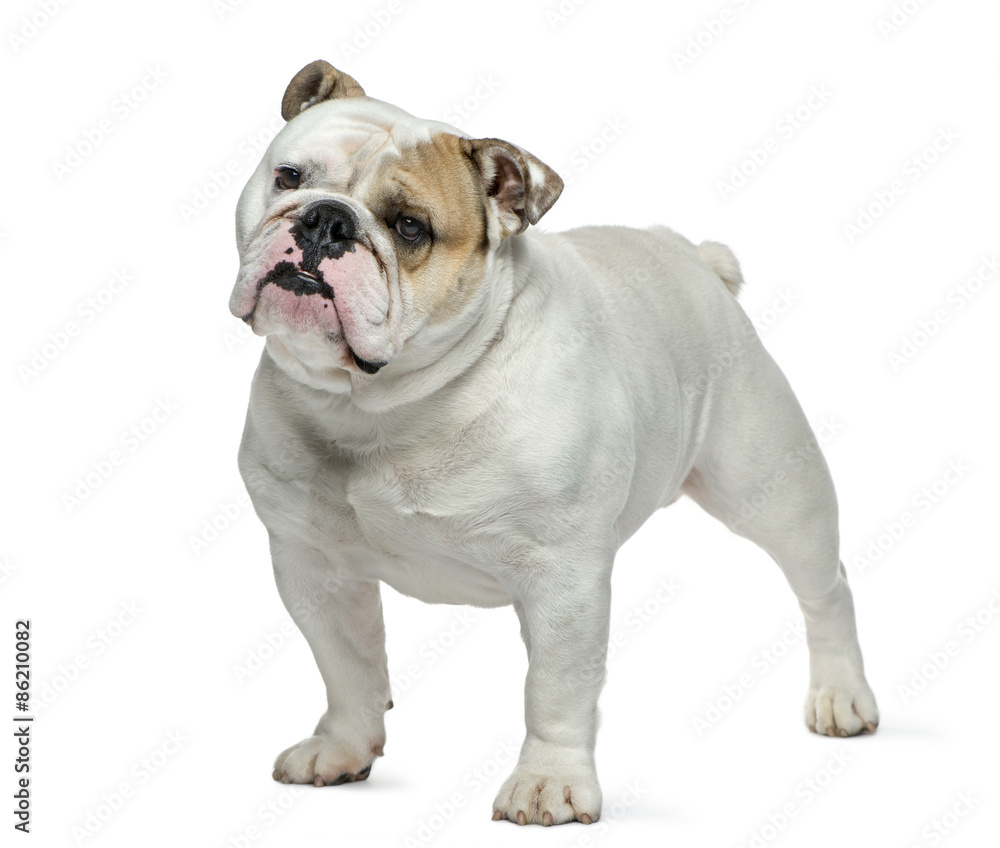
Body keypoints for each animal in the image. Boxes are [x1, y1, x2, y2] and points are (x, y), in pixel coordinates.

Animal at [230, 61, 880, 828]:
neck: (381, 406)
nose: (325, 219)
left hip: (771, 491)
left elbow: (556, 689)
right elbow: (346, 667)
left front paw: (547, 784)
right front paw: (343, 746)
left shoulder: (562, 581)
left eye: (409, 226)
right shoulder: (314, 568)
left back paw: (842, 695)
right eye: (289, 177)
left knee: (826, 587)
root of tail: (692, 257)